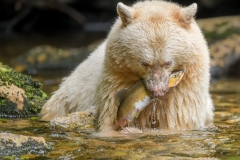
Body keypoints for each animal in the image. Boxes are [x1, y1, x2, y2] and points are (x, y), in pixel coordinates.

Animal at [40, 0, 215, 134]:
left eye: (168, 62)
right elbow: (109, 119)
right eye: (144, 63)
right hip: (68, 98)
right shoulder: (116, 77)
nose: (157, 92)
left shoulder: (185, 89)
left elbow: (179, 119)